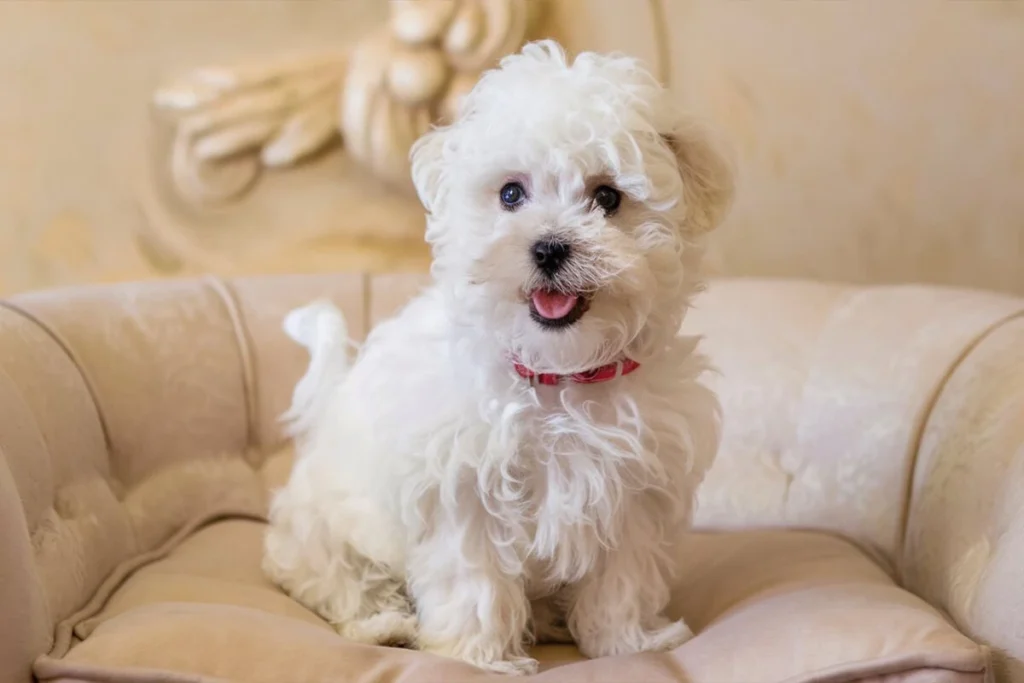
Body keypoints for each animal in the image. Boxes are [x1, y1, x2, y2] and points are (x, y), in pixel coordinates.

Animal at [260, 40, 733, 675]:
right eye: (511, 194)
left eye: (608, 197)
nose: (550, 247)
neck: (557, 374)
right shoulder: (462, 486)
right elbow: (474, 579)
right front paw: (477, 658)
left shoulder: (634, 487)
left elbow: (624, 573)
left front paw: (627, 642)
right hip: (324, 530)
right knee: (342, 583)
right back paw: (387, 625)